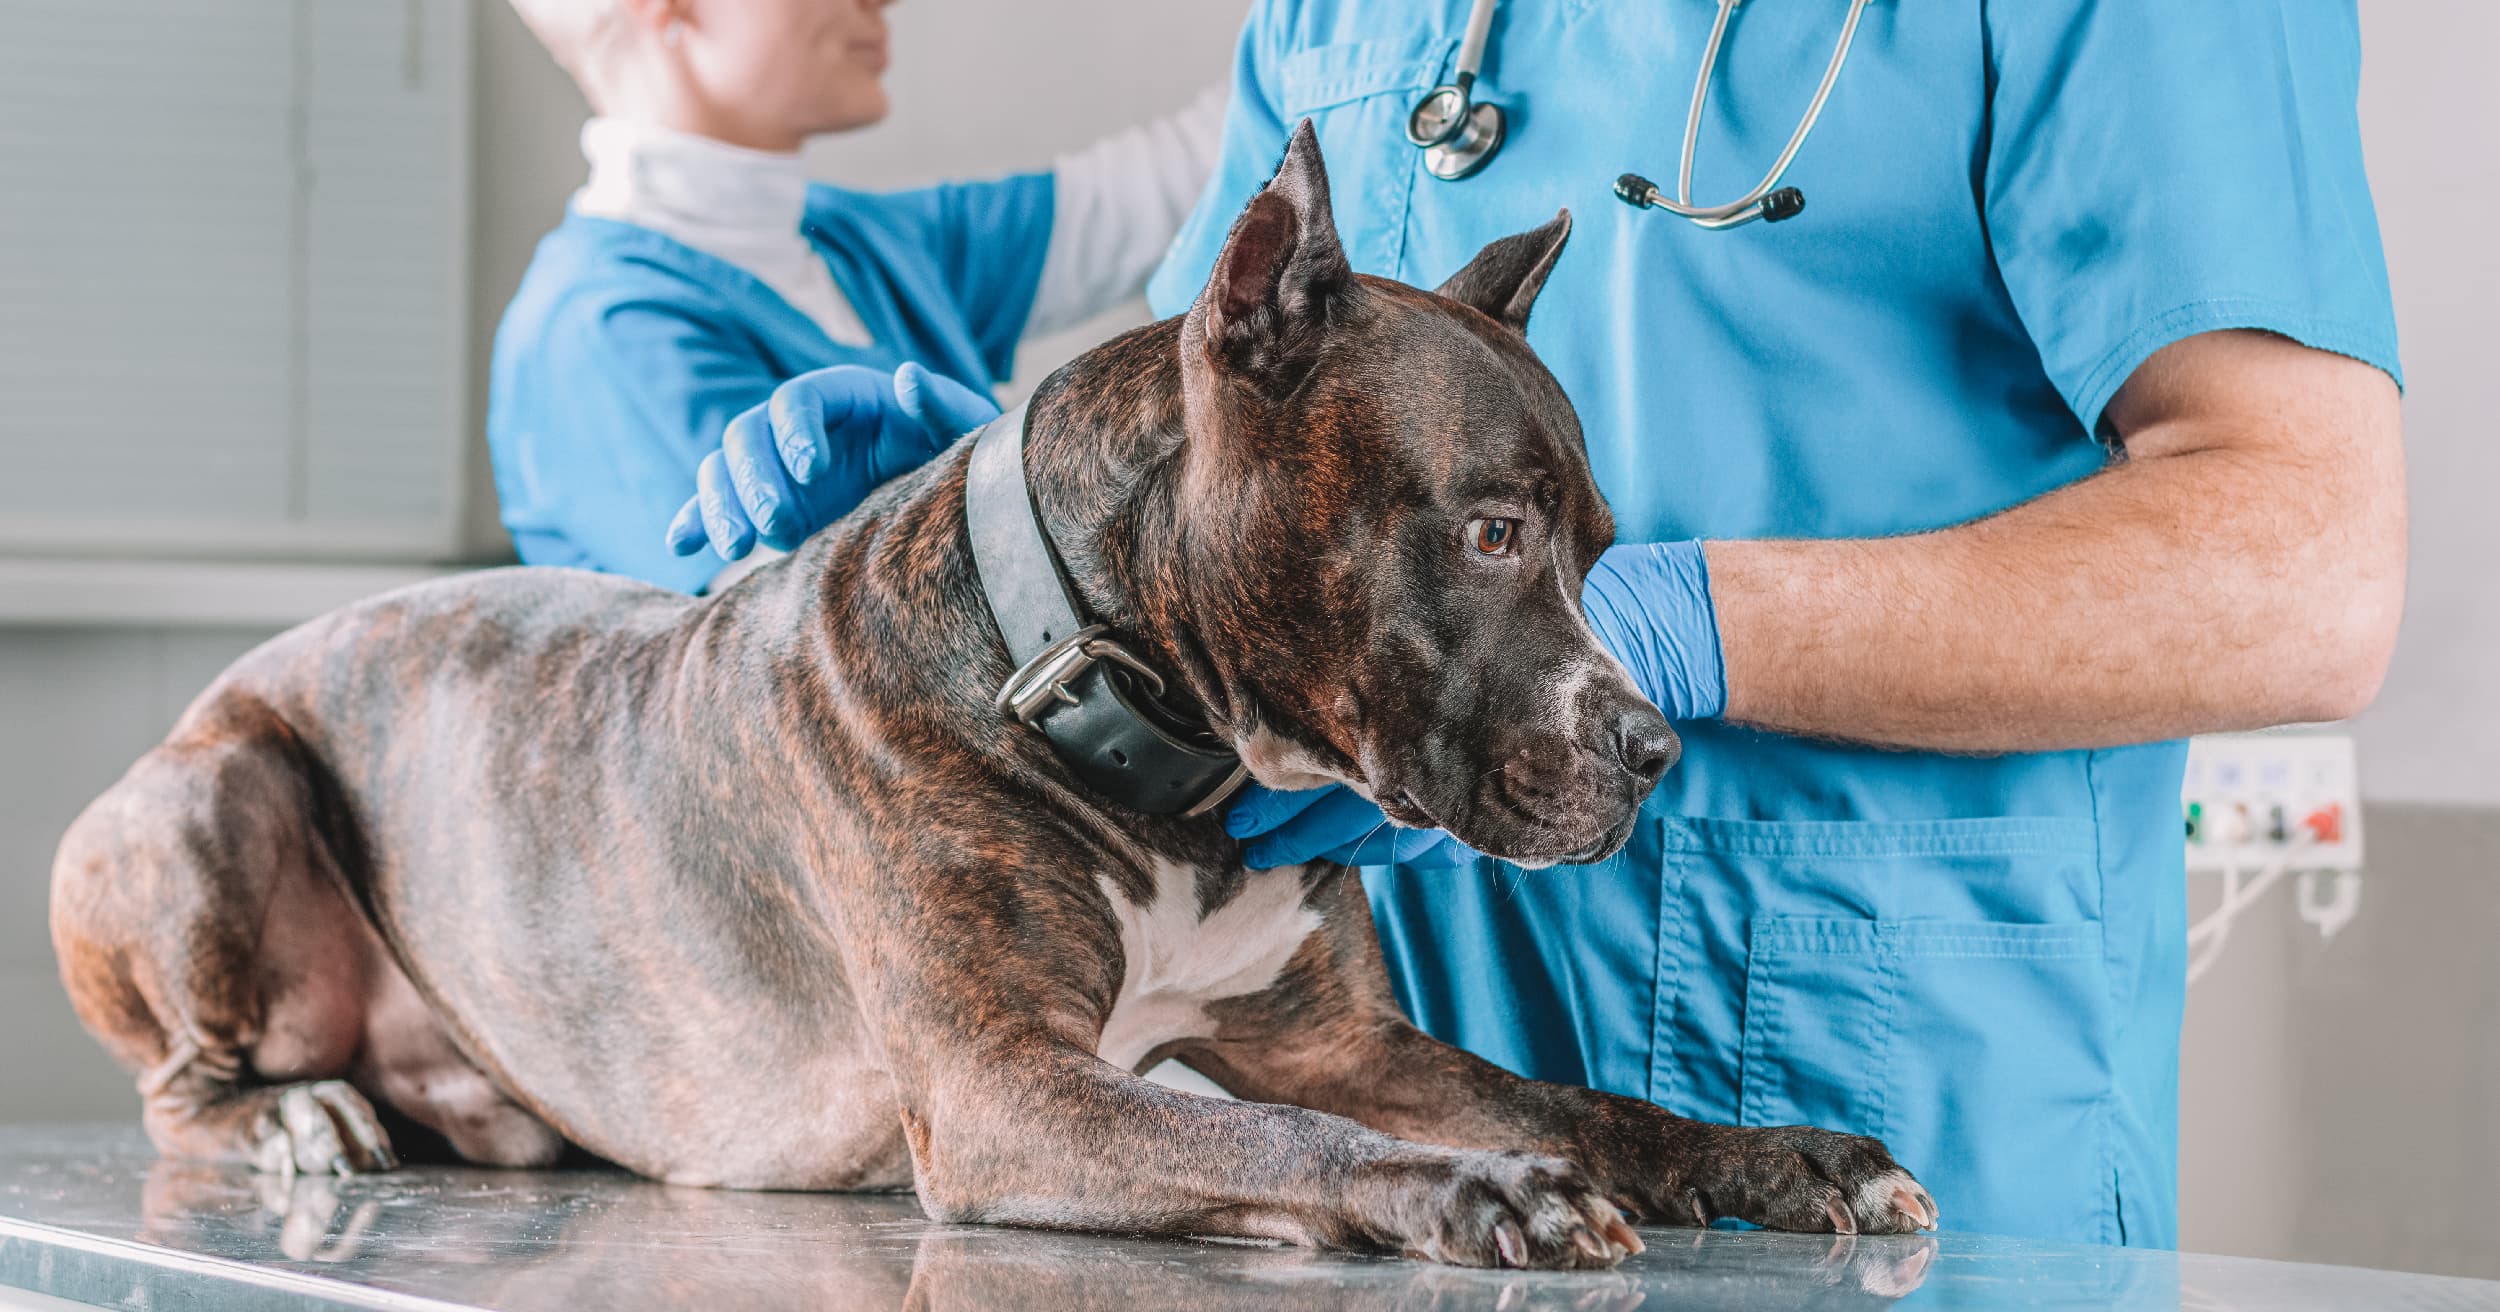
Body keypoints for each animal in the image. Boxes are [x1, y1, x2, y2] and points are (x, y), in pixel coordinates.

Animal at [53, 125, 1930, 1269]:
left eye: (1607, 549)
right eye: (1490, 532)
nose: (1655, 744)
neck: (1163, 749)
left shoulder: (1340, 1039)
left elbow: (1580, 1099)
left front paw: (1779, 1156)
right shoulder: (1011, 1091)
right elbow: (1279, 1142)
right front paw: (1480, 1191)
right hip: (214, 797)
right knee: (180, 1081)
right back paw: (300, 1108)